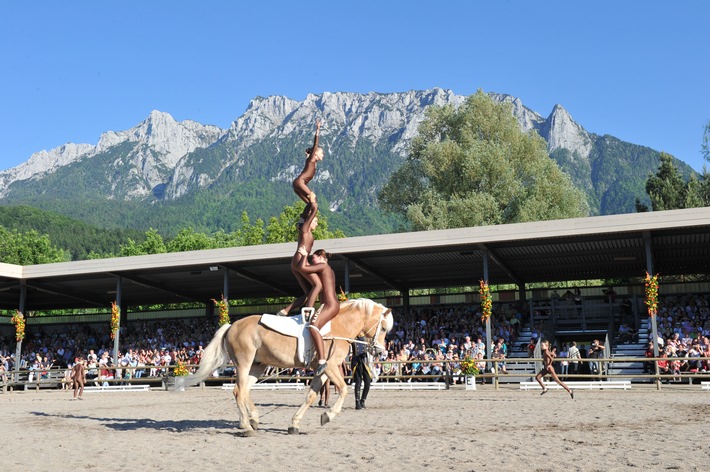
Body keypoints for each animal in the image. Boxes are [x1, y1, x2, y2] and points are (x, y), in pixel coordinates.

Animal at [175, 298, 392, 436]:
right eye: (382, 327)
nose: (380, 351)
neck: (338, 326)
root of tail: (231, 326)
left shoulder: (323, 371)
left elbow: (311, 395)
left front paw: (295, 424)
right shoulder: (330, 367)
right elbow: (344, 389)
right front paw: (327, 415)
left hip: (258, 365)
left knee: (245, 390)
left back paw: (253, 419)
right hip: (244, 363)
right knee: (238, 391)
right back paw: (246, 425)